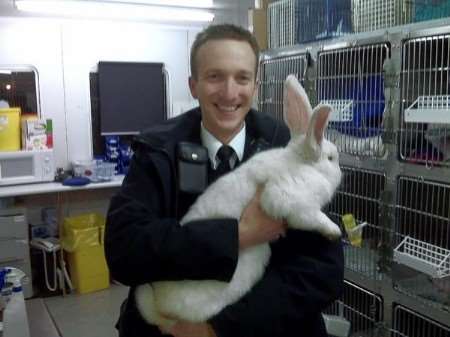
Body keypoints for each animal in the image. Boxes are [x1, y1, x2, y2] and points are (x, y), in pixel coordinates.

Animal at [135, 73, 342, 326]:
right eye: (331, 158)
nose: (342, 173)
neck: (302, 163)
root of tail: (159, 307)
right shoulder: (288, 198)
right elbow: (312, 218)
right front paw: (334, 231)